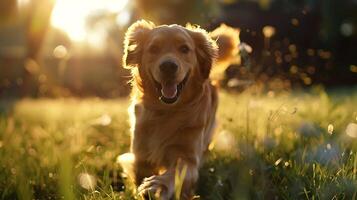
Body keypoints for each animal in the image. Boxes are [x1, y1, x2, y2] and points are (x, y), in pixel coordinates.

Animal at [119, 19, 239, 199]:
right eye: (153, 48)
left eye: (184, 49)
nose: (168, 66)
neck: (166, 112)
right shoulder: (140, 153)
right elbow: (140, 171)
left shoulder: (188, 157)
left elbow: (177, 171)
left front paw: (157, 185)